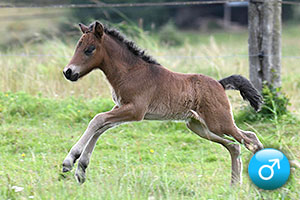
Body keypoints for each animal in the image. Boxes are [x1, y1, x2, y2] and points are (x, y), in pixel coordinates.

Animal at [62, 21, 264, 184]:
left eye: (90, 49)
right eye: (77, 47)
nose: (68, 72)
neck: (130, 72)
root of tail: (220, 84)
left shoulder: (135, 110)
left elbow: (97, 120)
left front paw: (69, 161)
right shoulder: (121, 107)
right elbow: (100, 127)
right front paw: (80, 170)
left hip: (219, 123)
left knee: (249, 141)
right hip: (199, 127)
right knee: (237, 145)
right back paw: (235, 185)